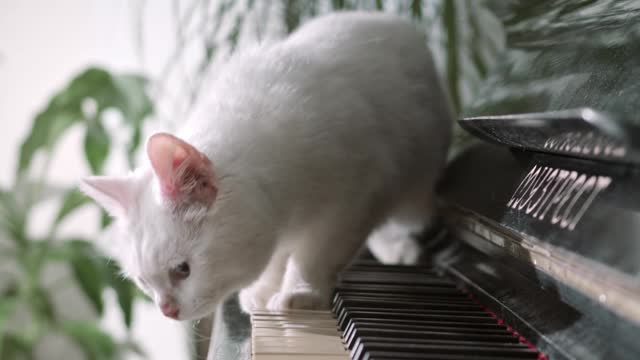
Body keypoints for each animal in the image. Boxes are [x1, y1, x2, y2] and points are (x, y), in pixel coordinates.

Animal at [79, 11, 450, 320]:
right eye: (144, 282)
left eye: (182, 270)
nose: (166, 310)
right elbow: (276, 257)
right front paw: (263, 290)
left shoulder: (357, 198)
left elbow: (315, 253)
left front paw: (301, 292)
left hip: (413, 186)